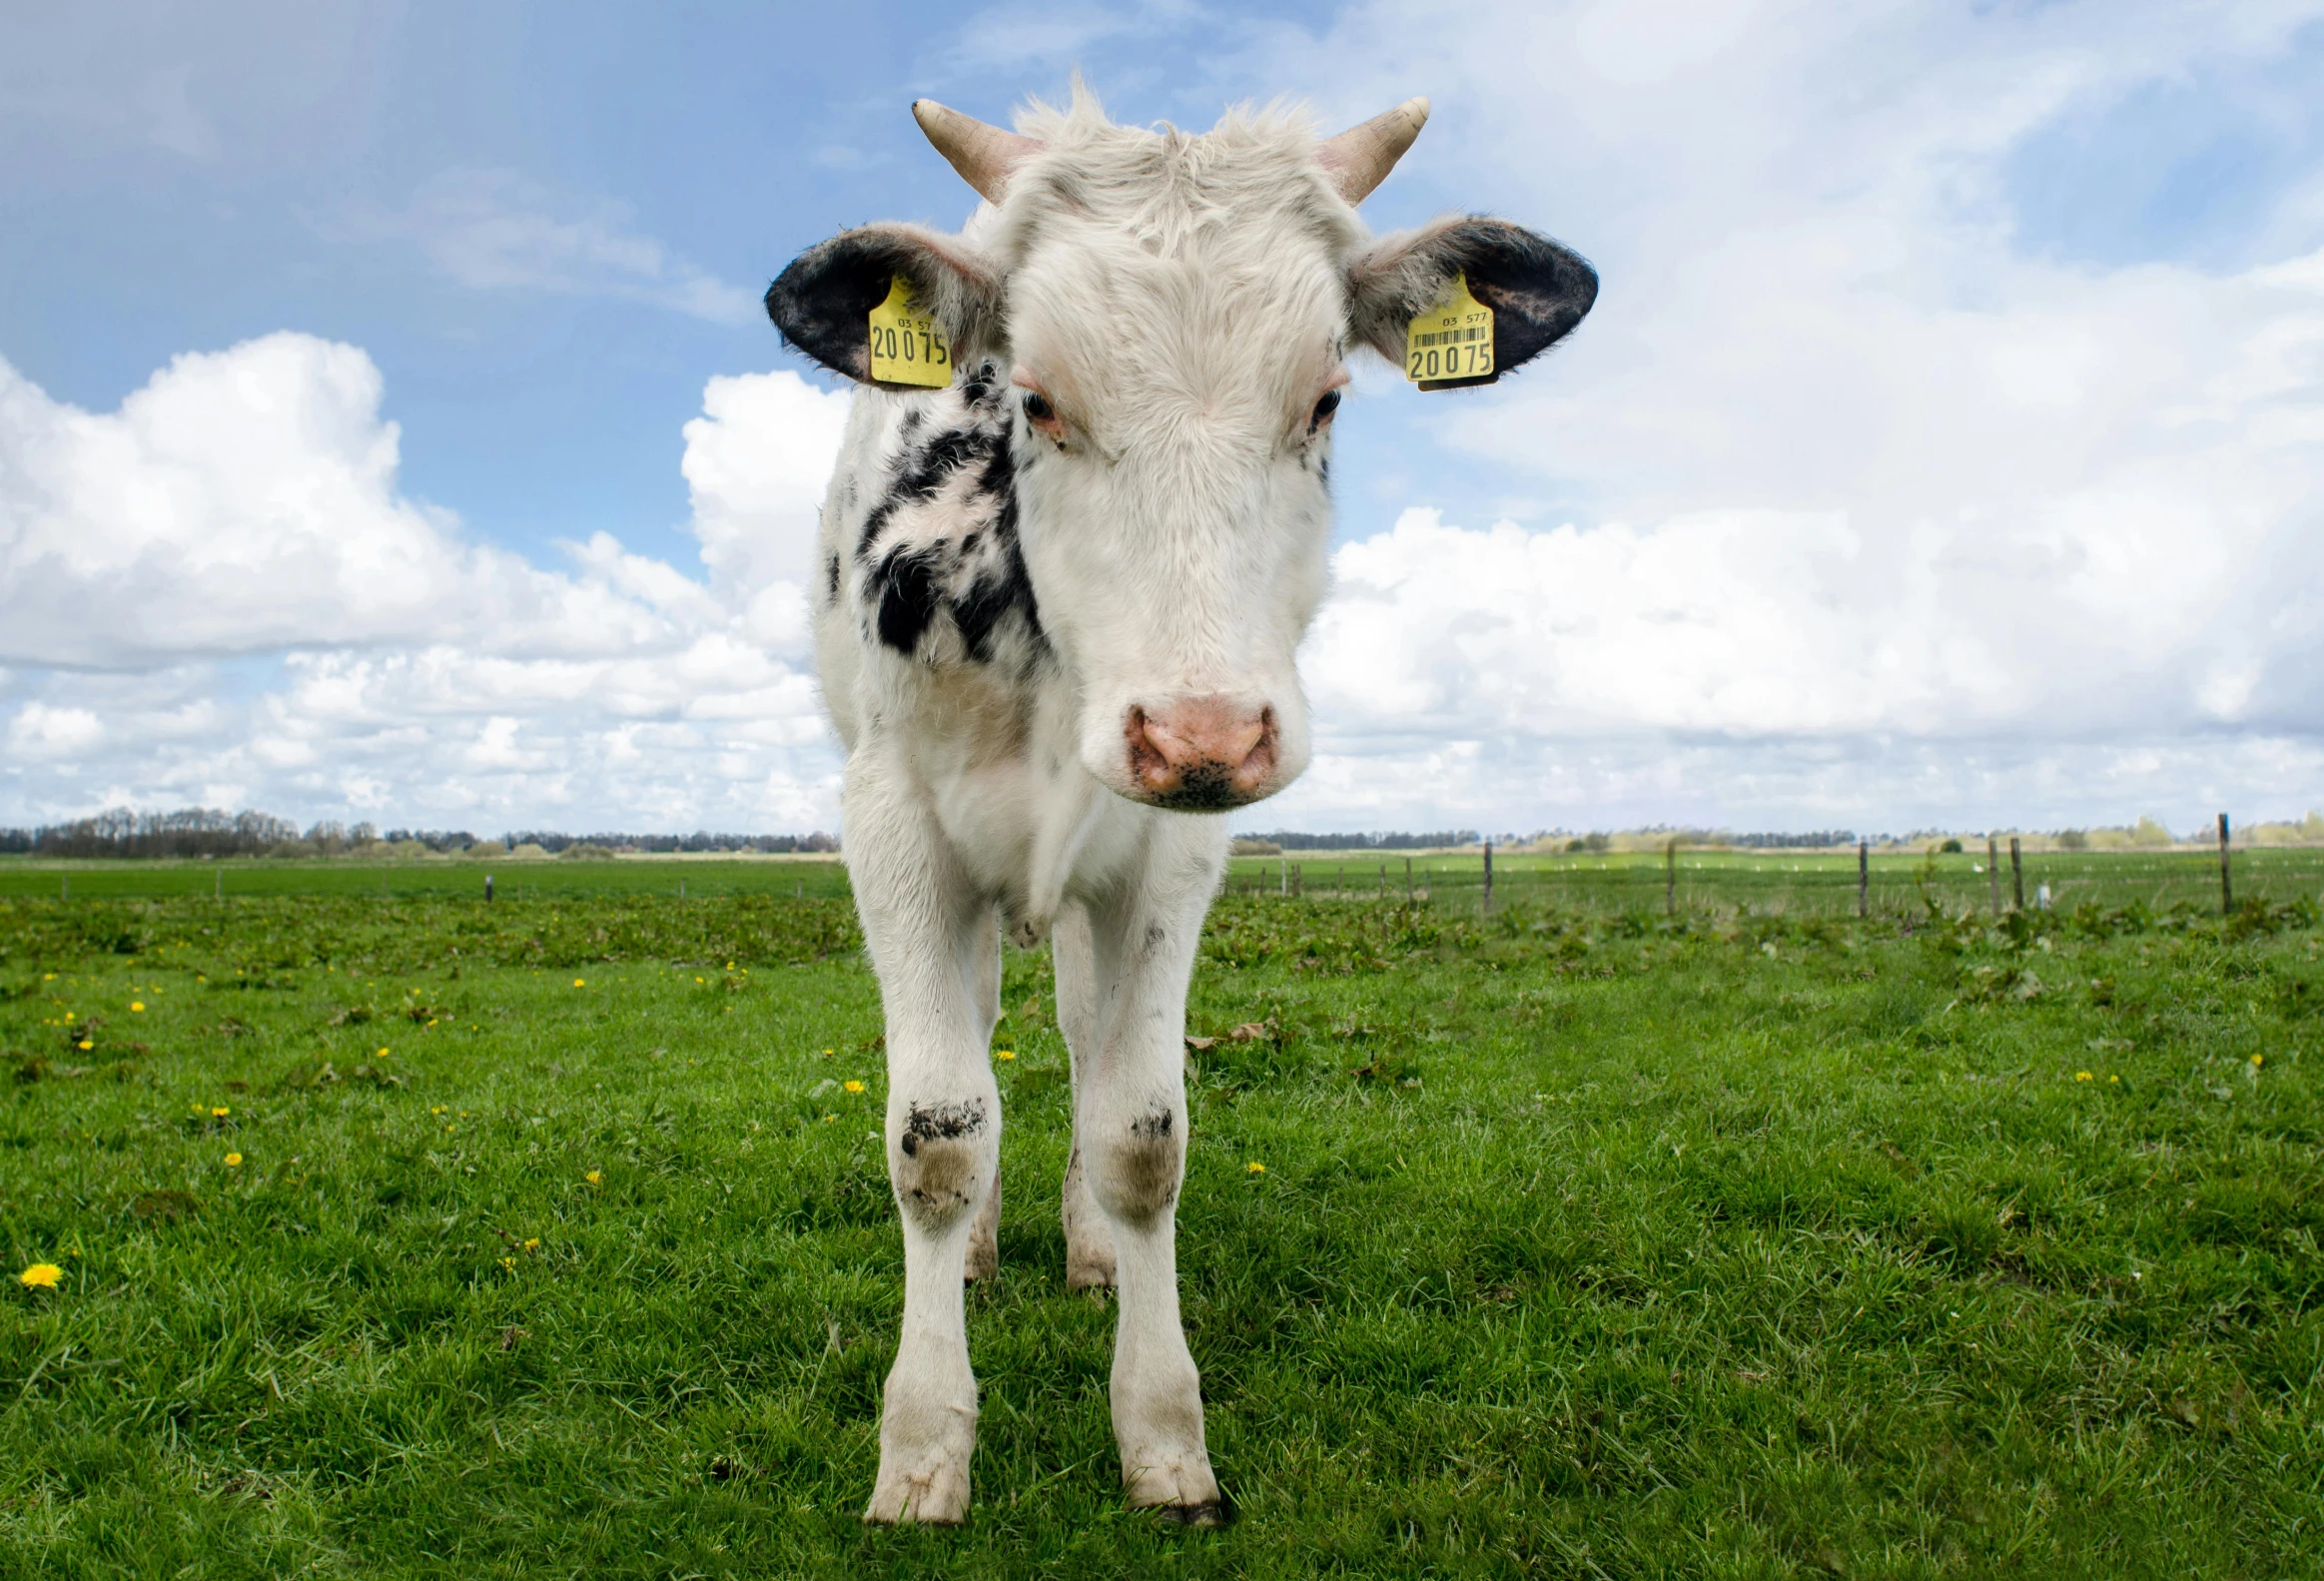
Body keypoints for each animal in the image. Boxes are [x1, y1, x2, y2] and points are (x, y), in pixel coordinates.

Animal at [766, 92, 1598, 1525]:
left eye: (1324, 397)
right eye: (1035, 397)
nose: (1200, 729)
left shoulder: (1173, 847)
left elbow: (1140, 1131)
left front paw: (1160, 1430)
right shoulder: (890, 824)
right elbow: (935, 1134)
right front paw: (921, 1445)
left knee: (1081, 1038)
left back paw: (1088, 1247)